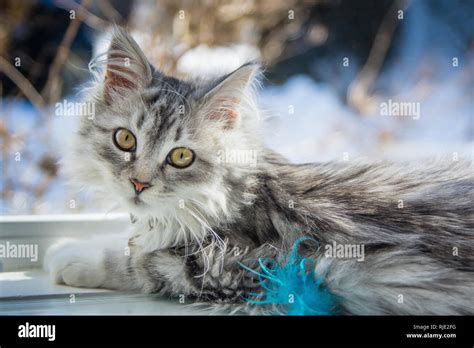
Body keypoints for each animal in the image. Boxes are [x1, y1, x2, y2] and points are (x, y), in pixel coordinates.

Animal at [44, 27, 474, 316]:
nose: (139, 183)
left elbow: (137, 261)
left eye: (181, 157)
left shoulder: (244, 265)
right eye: (125, 140)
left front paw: (69, 255)